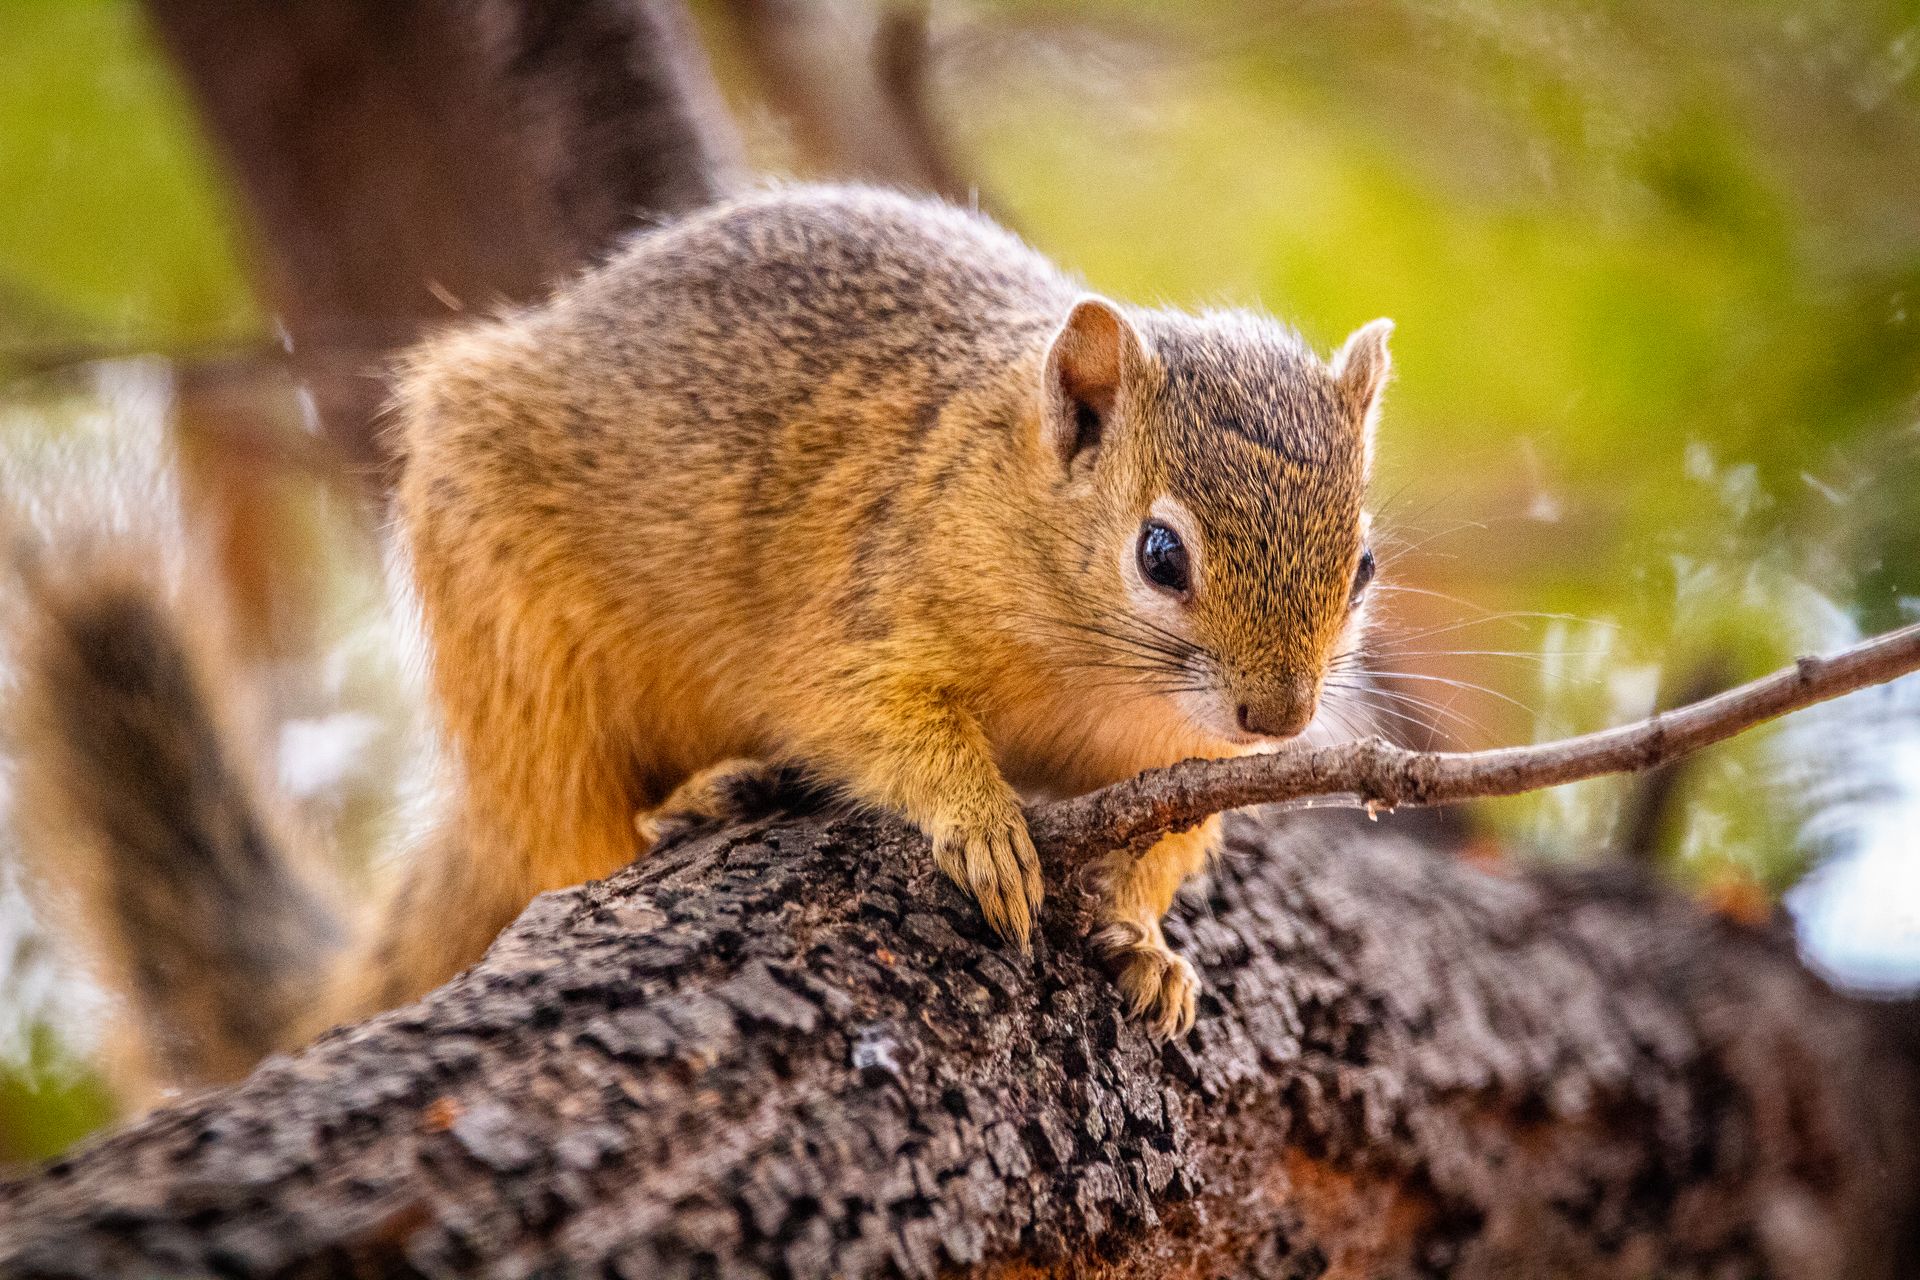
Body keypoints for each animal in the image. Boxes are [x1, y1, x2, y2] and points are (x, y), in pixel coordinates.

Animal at [6, 184, 1388, 1090]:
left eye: (1363, 563)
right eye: (1160, 554)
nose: (1280, 717)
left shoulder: (1172, 761)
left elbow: (1170, 839)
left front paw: (1146, 941)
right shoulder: (864, 605)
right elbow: (879, 720)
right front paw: (980, 822)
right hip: (521, 645)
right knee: (569, 828)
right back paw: (685, 802)